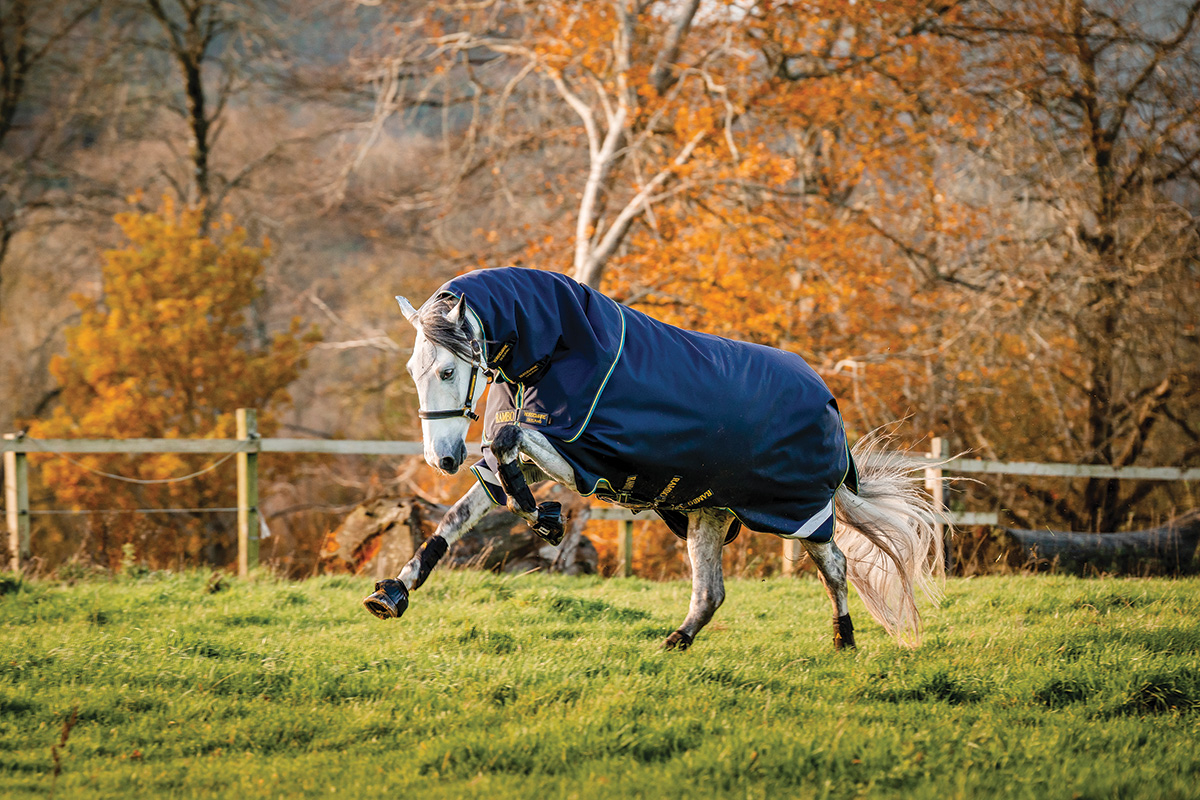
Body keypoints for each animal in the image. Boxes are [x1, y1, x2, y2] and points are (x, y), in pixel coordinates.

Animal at [360, 268, 940, 652]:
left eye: (448, 371)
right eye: (414, 369)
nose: (443, 458)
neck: (558, 347)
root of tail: (828, 400)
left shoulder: (579, 456)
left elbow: (506, 446)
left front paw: (546, 520)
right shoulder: (541, 455)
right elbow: (462, 512)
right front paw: (392, 593)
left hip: (797, 510)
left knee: (836, 567)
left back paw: (844, 640)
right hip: (711, 510)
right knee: (710, 592)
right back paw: (674, 643)